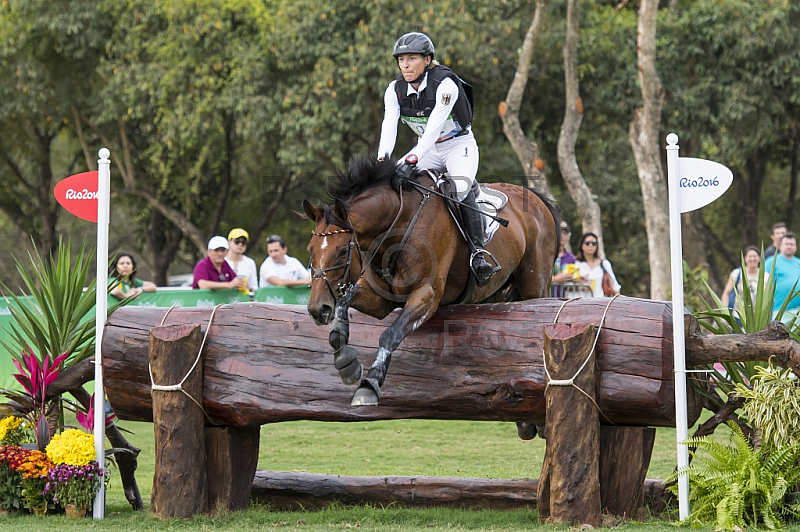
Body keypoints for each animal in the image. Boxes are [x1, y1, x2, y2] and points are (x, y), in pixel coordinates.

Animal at [304, 154, 560, 408]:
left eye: (341, 252)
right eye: (310, 250)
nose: (317, 309)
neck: (398, 222)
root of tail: (537, 199)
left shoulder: (426, 295)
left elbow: (389, 335)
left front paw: (369, 385)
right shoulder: (380, 301)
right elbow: (343, 305)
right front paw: (346, 363)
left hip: (535, 285)